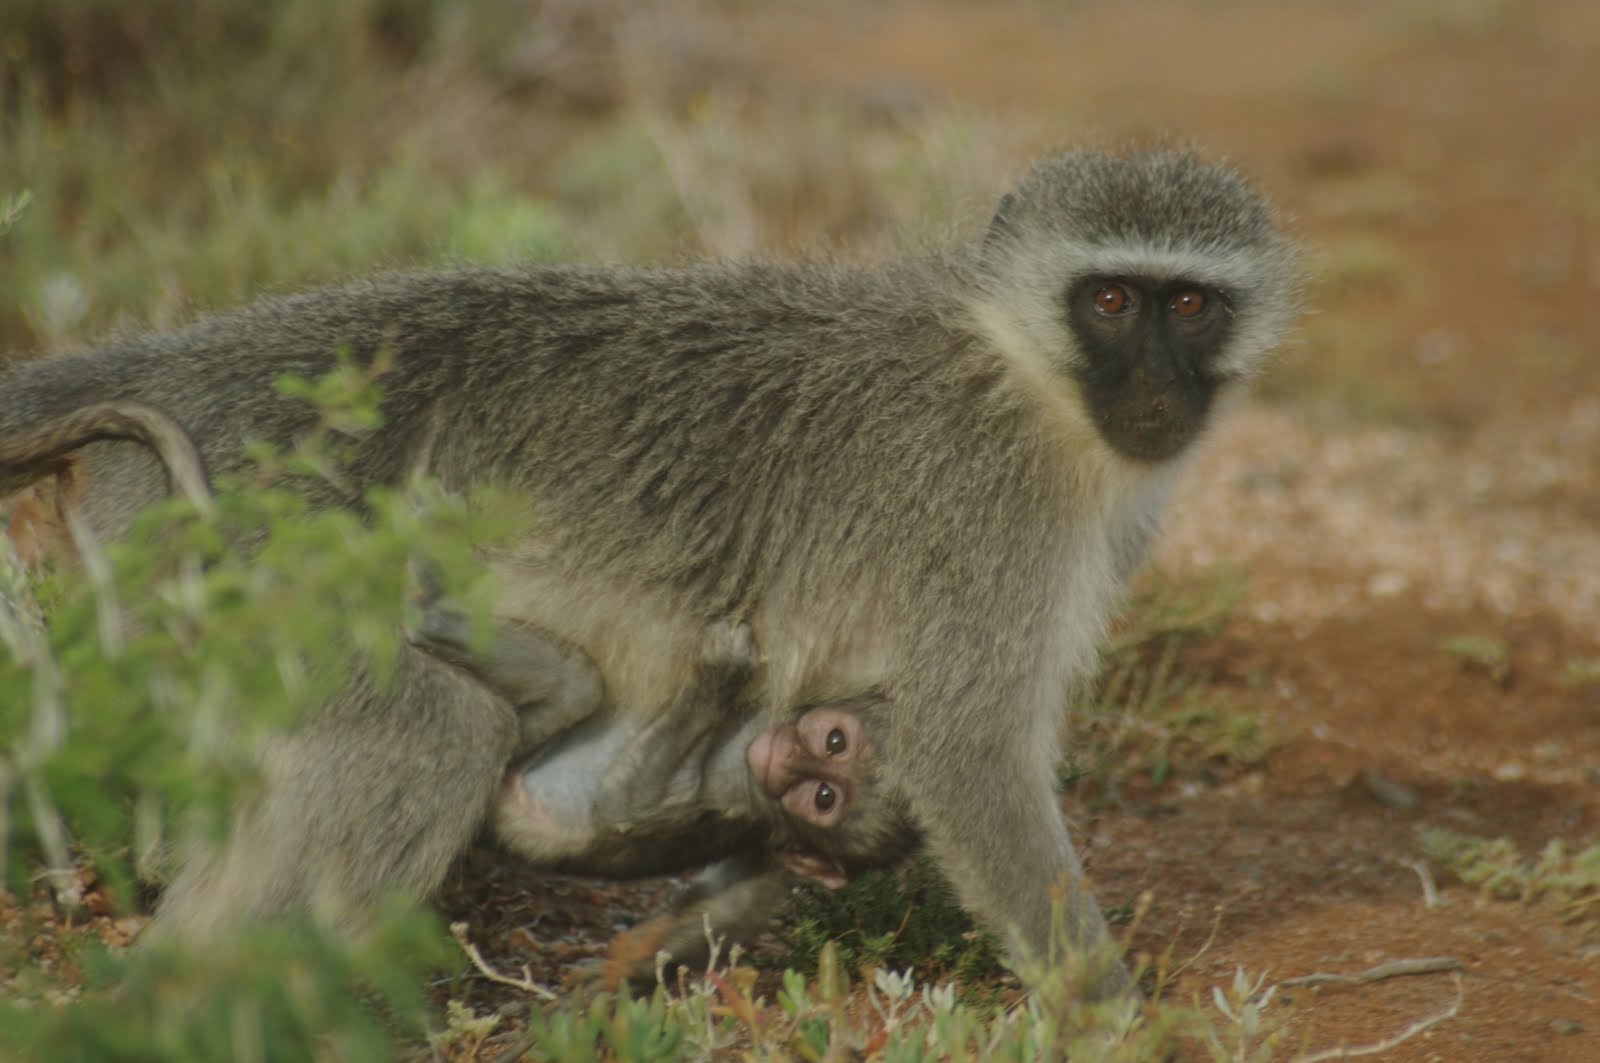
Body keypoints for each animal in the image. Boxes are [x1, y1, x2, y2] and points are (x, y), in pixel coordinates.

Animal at [0, 149, 1298, 995]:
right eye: (1112, 299)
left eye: (1191, 303)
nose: (1156, 391)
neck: (1025, 371)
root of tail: (181, 362)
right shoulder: (992, 509)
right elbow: (969, 753)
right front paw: (1109, 1019)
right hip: (234, 547)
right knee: (426, 730)